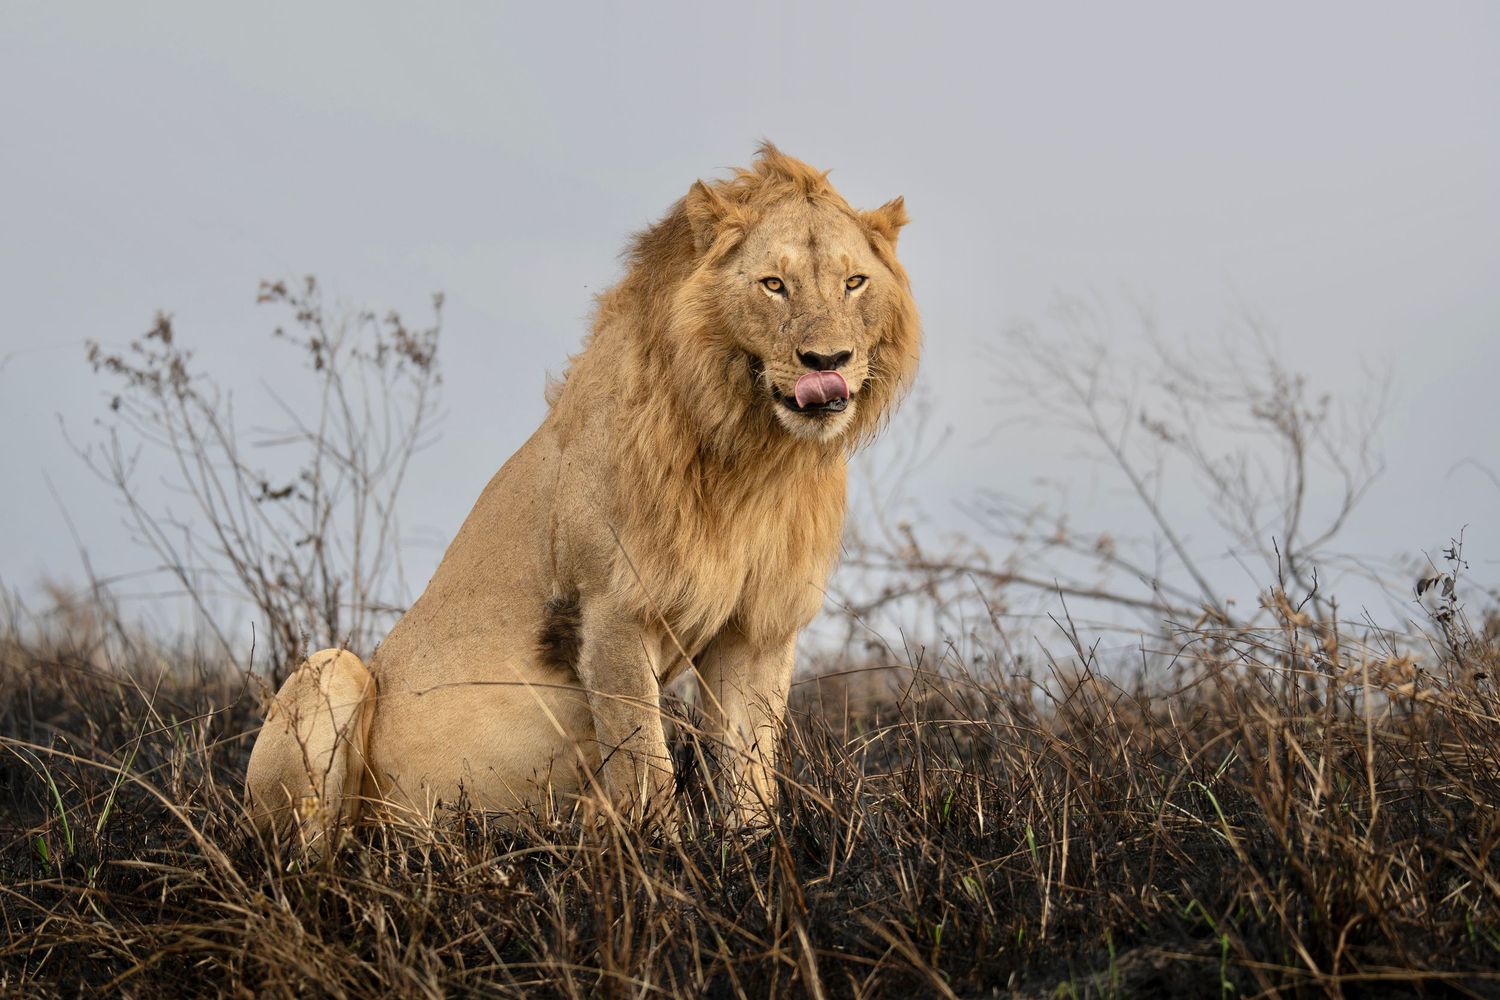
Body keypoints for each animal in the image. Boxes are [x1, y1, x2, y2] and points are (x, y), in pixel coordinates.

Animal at [244, 144, 920, 843]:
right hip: (329, 672)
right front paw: (668, 859)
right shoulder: (612, 611)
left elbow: (750, 772)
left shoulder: (760, 627)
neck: (753, 454)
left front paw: (752, 855)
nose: (828, 362)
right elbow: (647, 764)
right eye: (773, 284)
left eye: (853, 283)